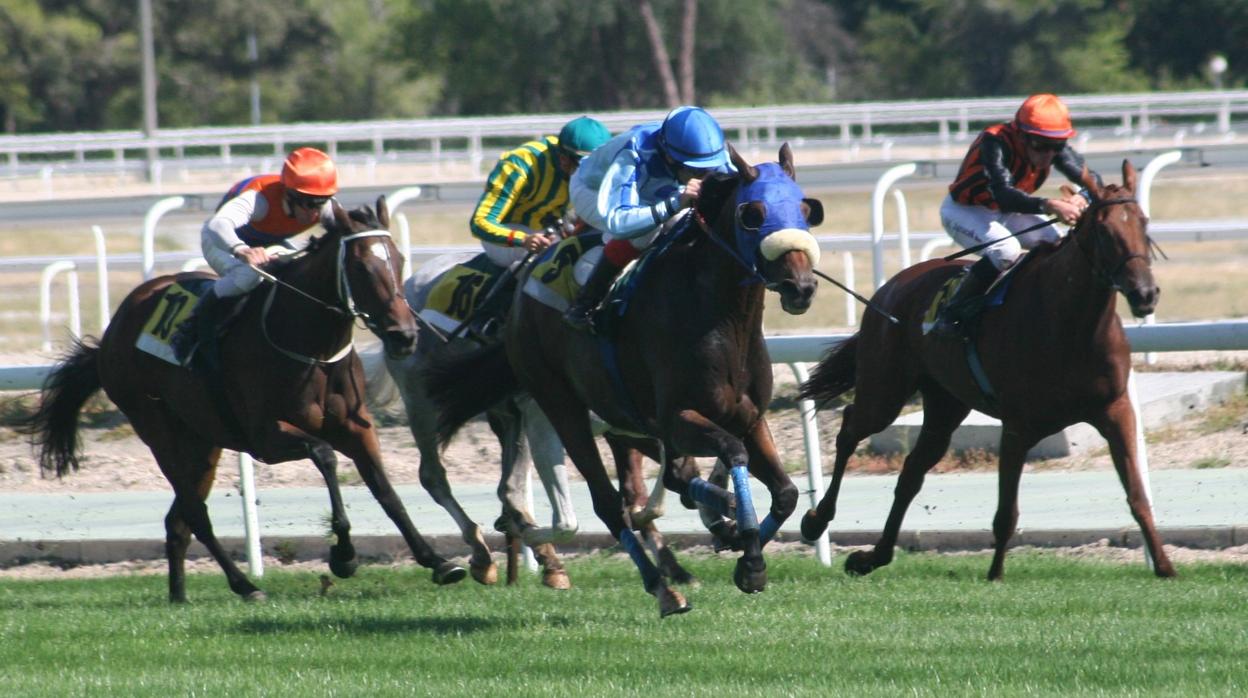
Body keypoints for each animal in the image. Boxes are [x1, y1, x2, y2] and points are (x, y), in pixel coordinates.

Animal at [19, 199, 469, 604]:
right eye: (360, 267)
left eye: (399, 260)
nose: (404, 336)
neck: (311, 346)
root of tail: (113, 332)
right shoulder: (266, 438)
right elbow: (325, 456)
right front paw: (343, 555)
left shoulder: (356, 427)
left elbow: (385, 490)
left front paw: (437, 561)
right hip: (158, 429)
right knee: (195, 514)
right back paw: (245, 585)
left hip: (203, 442)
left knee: (177, 520)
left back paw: (179, 595)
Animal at [429, 144, 828, 614]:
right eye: (754, 213)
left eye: (805, 209)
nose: (801, 286)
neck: (725, 320)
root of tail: (523, 287)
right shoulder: (679, 418)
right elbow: (733, 452)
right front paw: (746, 554)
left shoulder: (748, 417)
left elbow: (785, 493)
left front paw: (743, 551)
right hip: (561, 405)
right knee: (607, 503)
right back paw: (661, 587)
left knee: (663, 483)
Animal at [798, 161, 1168, 581]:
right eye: (1104, 230)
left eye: (1144, 222)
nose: (1144, 294)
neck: (1071, 324)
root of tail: (890, 287)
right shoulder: (1018, 426)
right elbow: (1006, 513)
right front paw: (994, 576)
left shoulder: (1115, 411)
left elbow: (1138, 496)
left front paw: (1165, 566)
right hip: (884, 389)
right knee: (849, 429)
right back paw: (816, 519)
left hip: (945, 404)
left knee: (911, 472)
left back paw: (873, 556)